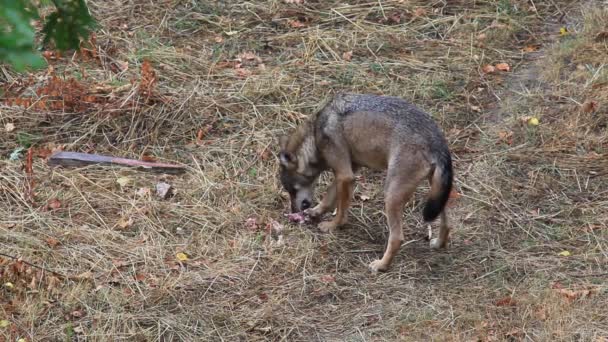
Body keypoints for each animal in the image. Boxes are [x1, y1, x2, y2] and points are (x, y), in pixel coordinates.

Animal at [278, 93, 454, 272]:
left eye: (292, 190)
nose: (294, 211)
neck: (314, 134)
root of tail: (437, 143)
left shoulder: (345, 175)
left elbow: (340, 210)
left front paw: (333, 226)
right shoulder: (349, 171)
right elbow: (328, 198)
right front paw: (315, 212)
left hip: (391, 196)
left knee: (397, 238)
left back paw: (381, 265)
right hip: (436, 195)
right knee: (447, 223)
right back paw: (439, 244)